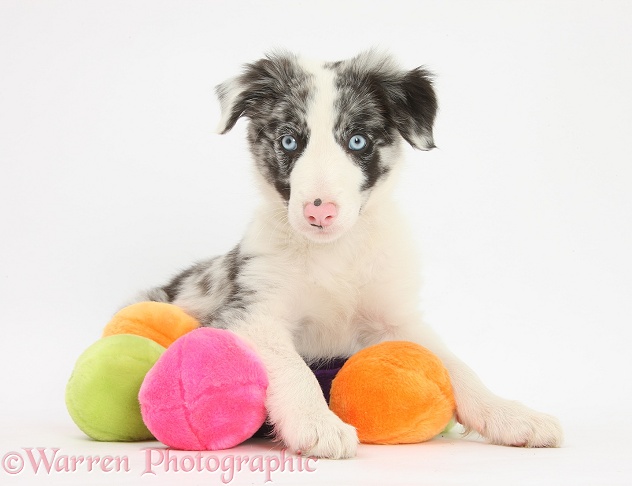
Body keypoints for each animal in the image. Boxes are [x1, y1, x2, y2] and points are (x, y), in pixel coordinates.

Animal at [139, 50, 564, 460]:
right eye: (289, 142)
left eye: (358, 141)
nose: (320, 212)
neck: (334, 254)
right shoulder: (252, 312)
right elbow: (292, 365)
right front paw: (317, 423)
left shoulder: (396, 319)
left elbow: (457, 366)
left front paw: (510, 415)